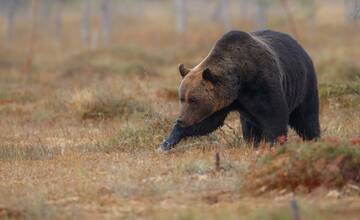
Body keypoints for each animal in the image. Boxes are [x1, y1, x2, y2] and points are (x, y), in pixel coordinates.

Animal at [160, 29, 320, 150]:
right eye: (182, 98)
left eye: (193, 99)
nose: (181, 119)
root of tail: (298, 44)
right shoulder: (222, 102)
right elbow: (207, 123)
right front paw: (167, 142)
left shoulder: (261, 84)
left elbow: (275, 115)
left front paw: (273, 143)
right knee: (249, 126)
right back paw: (252, 142)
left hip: (304, 84)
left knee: (307, 117)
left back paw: (314, 138)